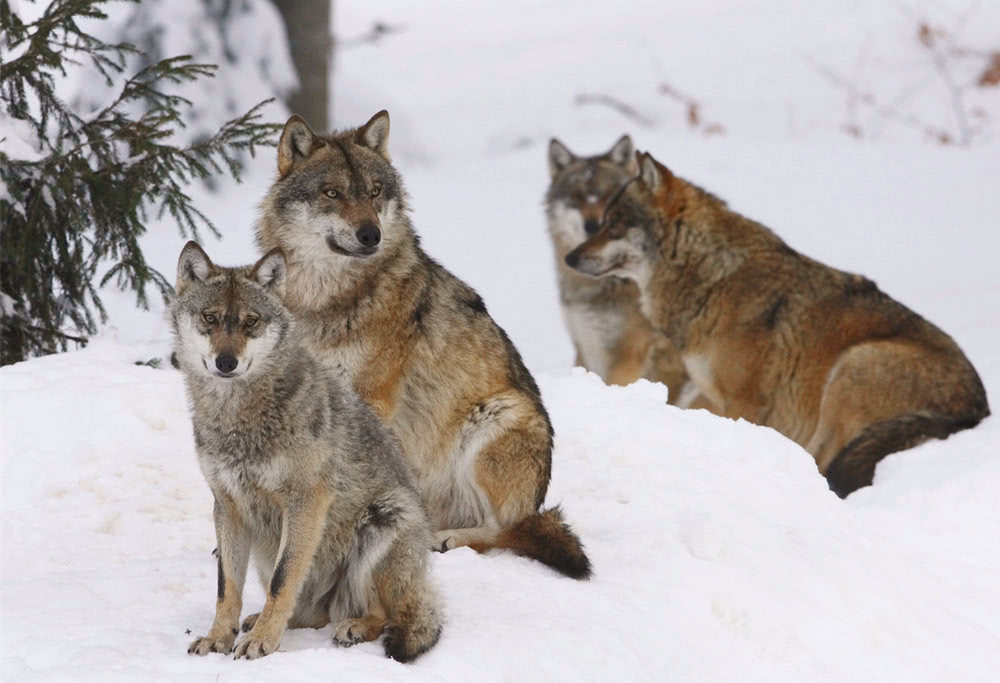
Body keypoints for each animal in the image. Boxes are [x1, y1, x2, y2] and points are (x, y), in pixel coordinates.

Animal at [172, 243, 442, 660]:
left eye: (251, 322)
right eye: (210, 318)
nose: (226, 362)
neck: (238, 419)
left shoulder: (306, 500)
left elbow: (284, 579)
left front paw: (262, 642)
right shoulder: (227, 505)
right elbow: (226, 587)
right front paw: (219, 637)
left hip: (385, 518)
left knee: (386, 615)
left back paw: (352, 627)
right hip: (266, 548)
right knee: (309, 615)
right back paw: (262, 621)